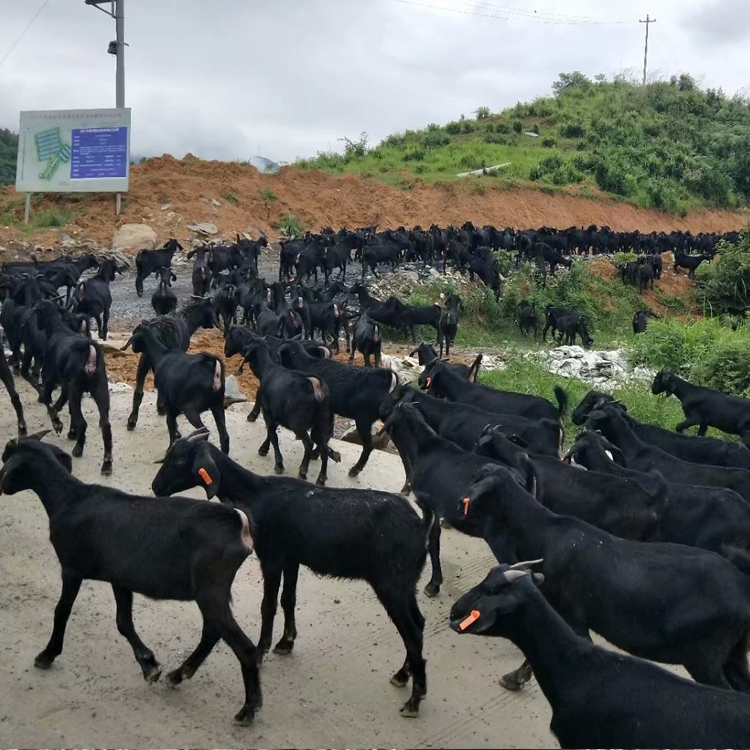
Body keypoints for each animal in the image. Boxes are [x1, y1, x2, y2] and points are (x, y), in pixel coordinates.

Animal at [0, 438, 262, 724]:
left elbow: (62, 611)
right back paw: (178, 674)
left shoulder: (71, 569)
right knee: (213, 631)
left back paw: (249, 708)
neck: (69, 499)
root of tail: (238, 521)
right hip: (211, 592)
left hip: (210, 590)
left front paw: (47, 655)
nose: (2, 486)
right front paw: (149, 665)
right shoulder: (120, 578)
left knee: (241, 645)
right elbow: (123, 622)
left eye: (7, 459)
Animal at [151, 428, 428, 716]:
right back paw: (404, 674)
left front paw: (261, 651)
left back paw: (414, 699)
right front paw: (286, 642)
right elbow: (288, 600)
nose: (156, 487)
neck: (255, 493)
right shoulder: (292, 558)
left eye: (180, 460)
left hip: (390, 583)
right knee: (419, 622)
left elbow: (268, 604)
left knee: (412, 632)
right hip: (406, 582)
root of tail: (420, 530)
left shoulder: (272, 557)